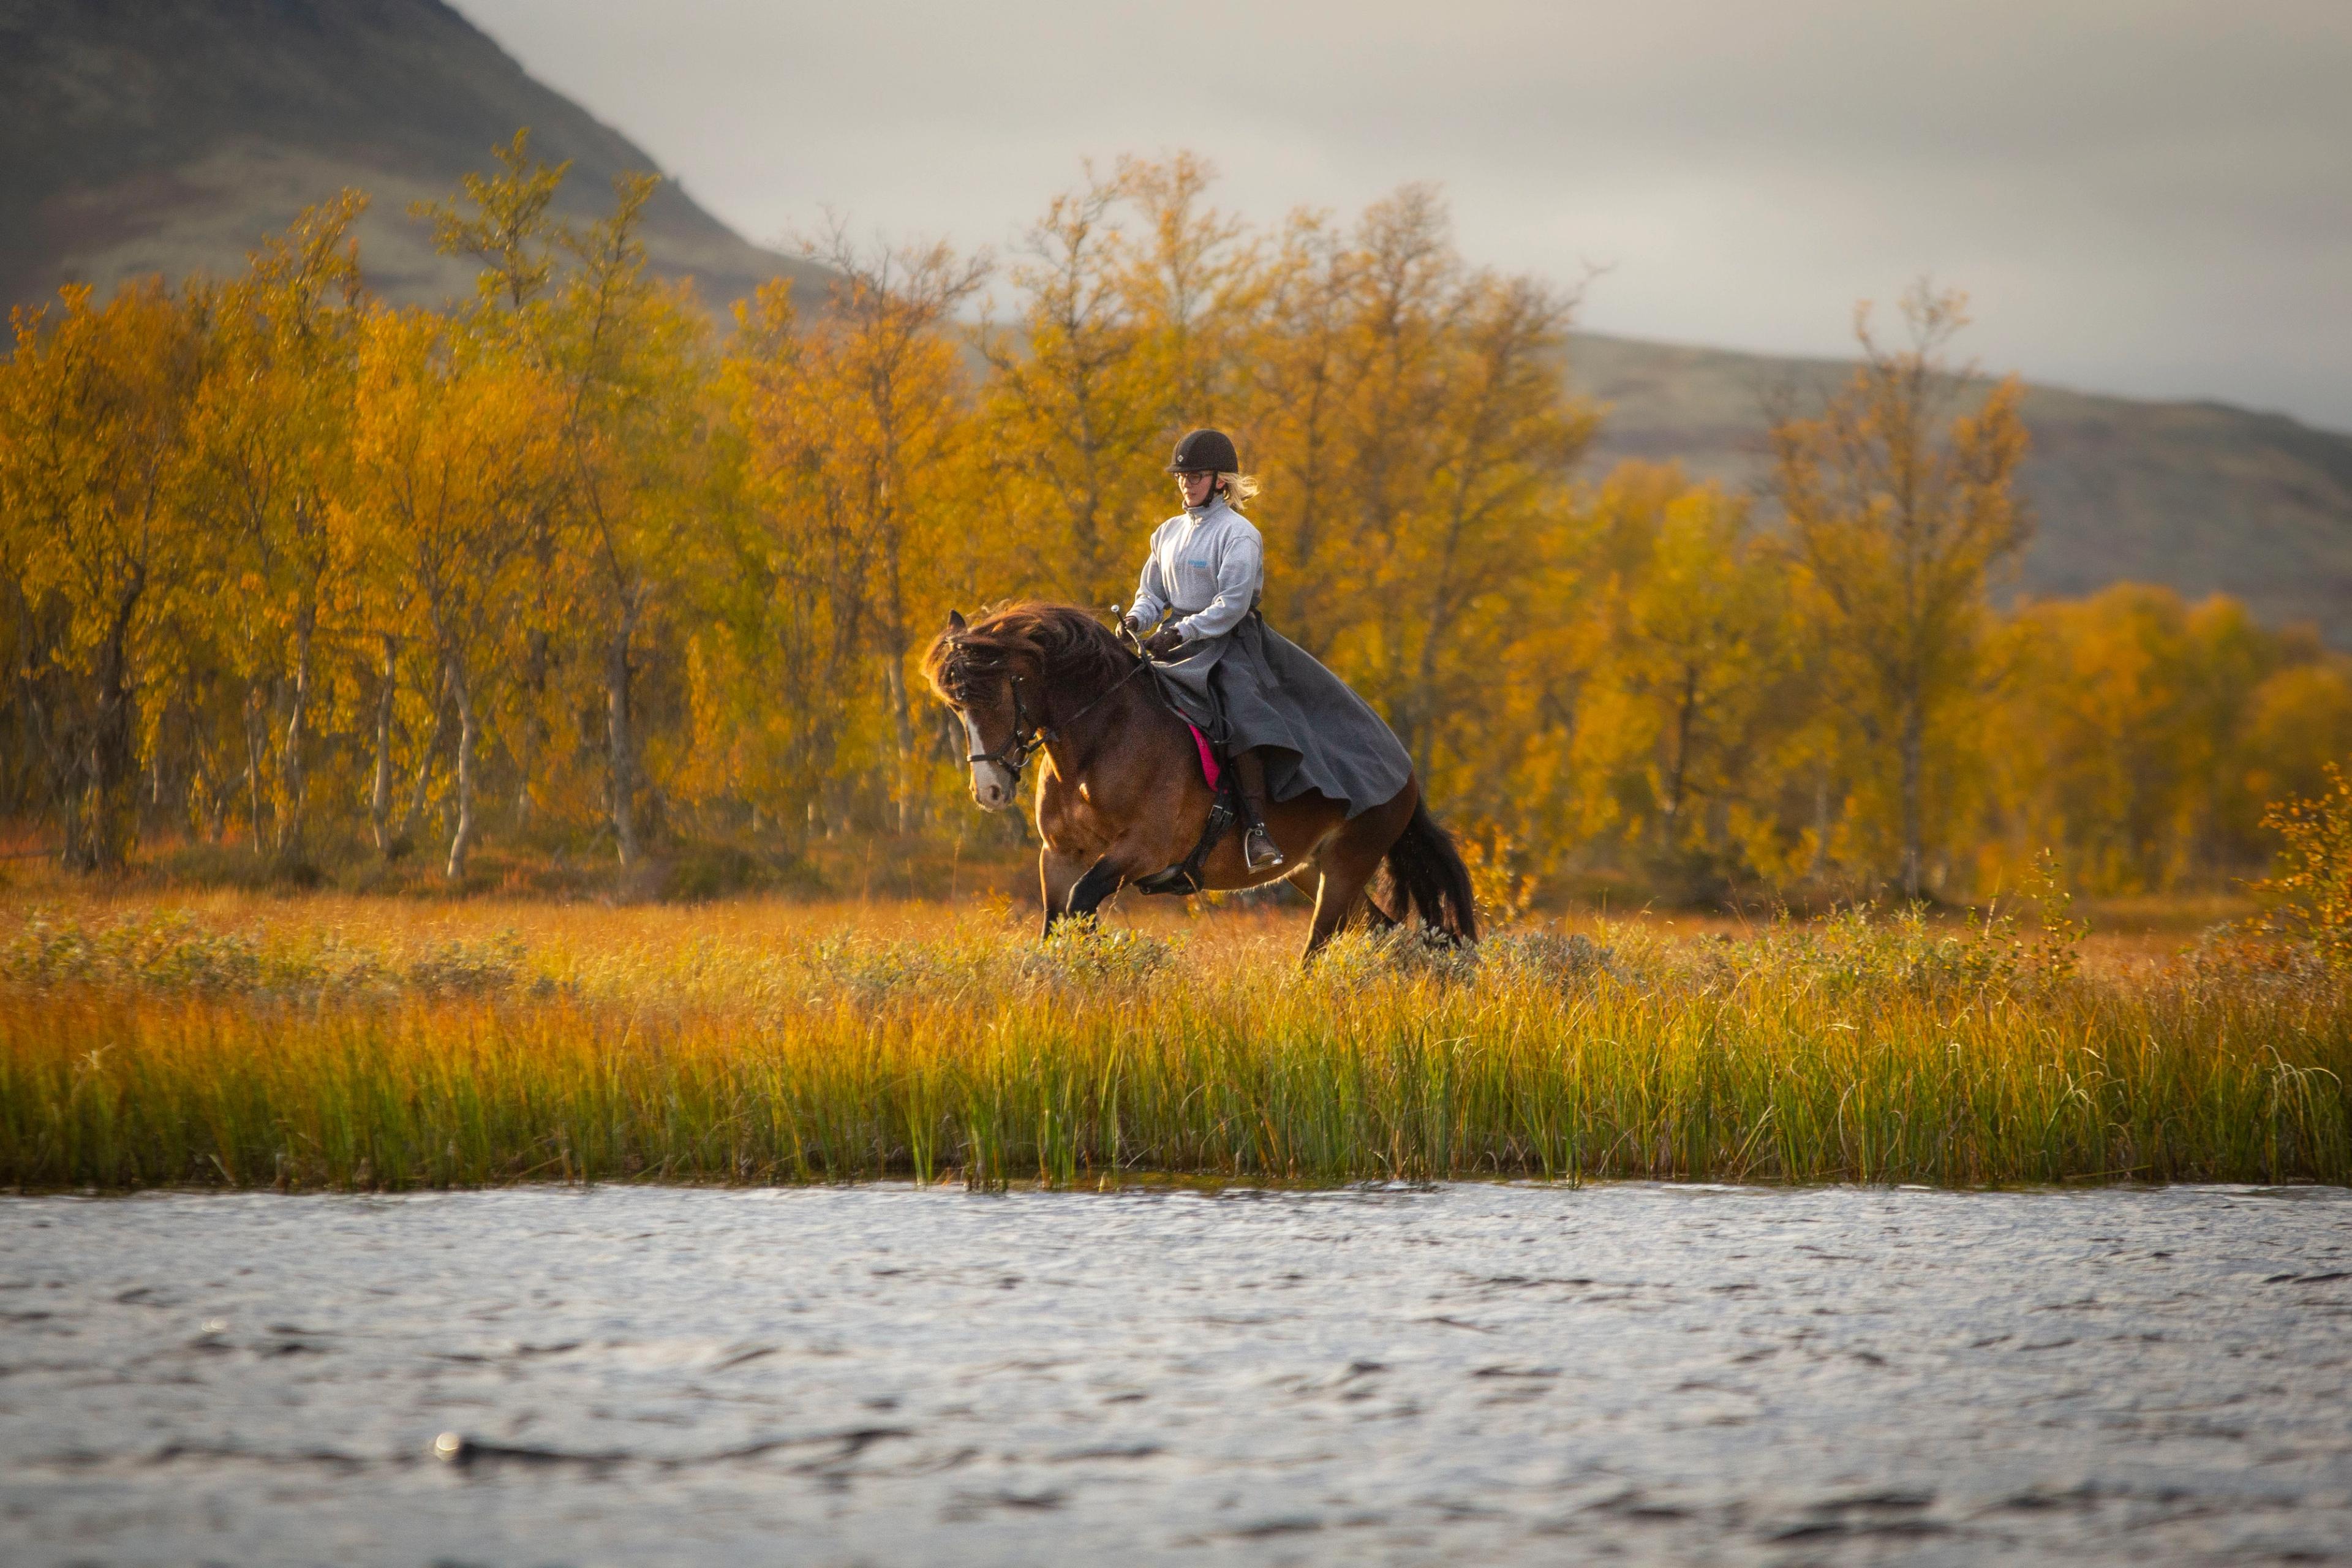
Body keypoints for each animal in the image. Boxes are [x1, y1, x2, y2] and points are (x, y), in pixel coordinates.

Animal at [921, 602, 1476, 961]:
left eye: (990, 696)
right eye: (955, 705)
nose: (989, 792)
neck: (1098, 743)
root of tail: (1405, 774)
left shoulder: (1142, 851)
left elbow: (1081, 906)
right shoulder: (1058, 856)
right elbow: (1058, 923)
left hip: (1345, 869)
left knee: (1321, 949)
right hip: (1311, 870)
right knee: (1386, 931)